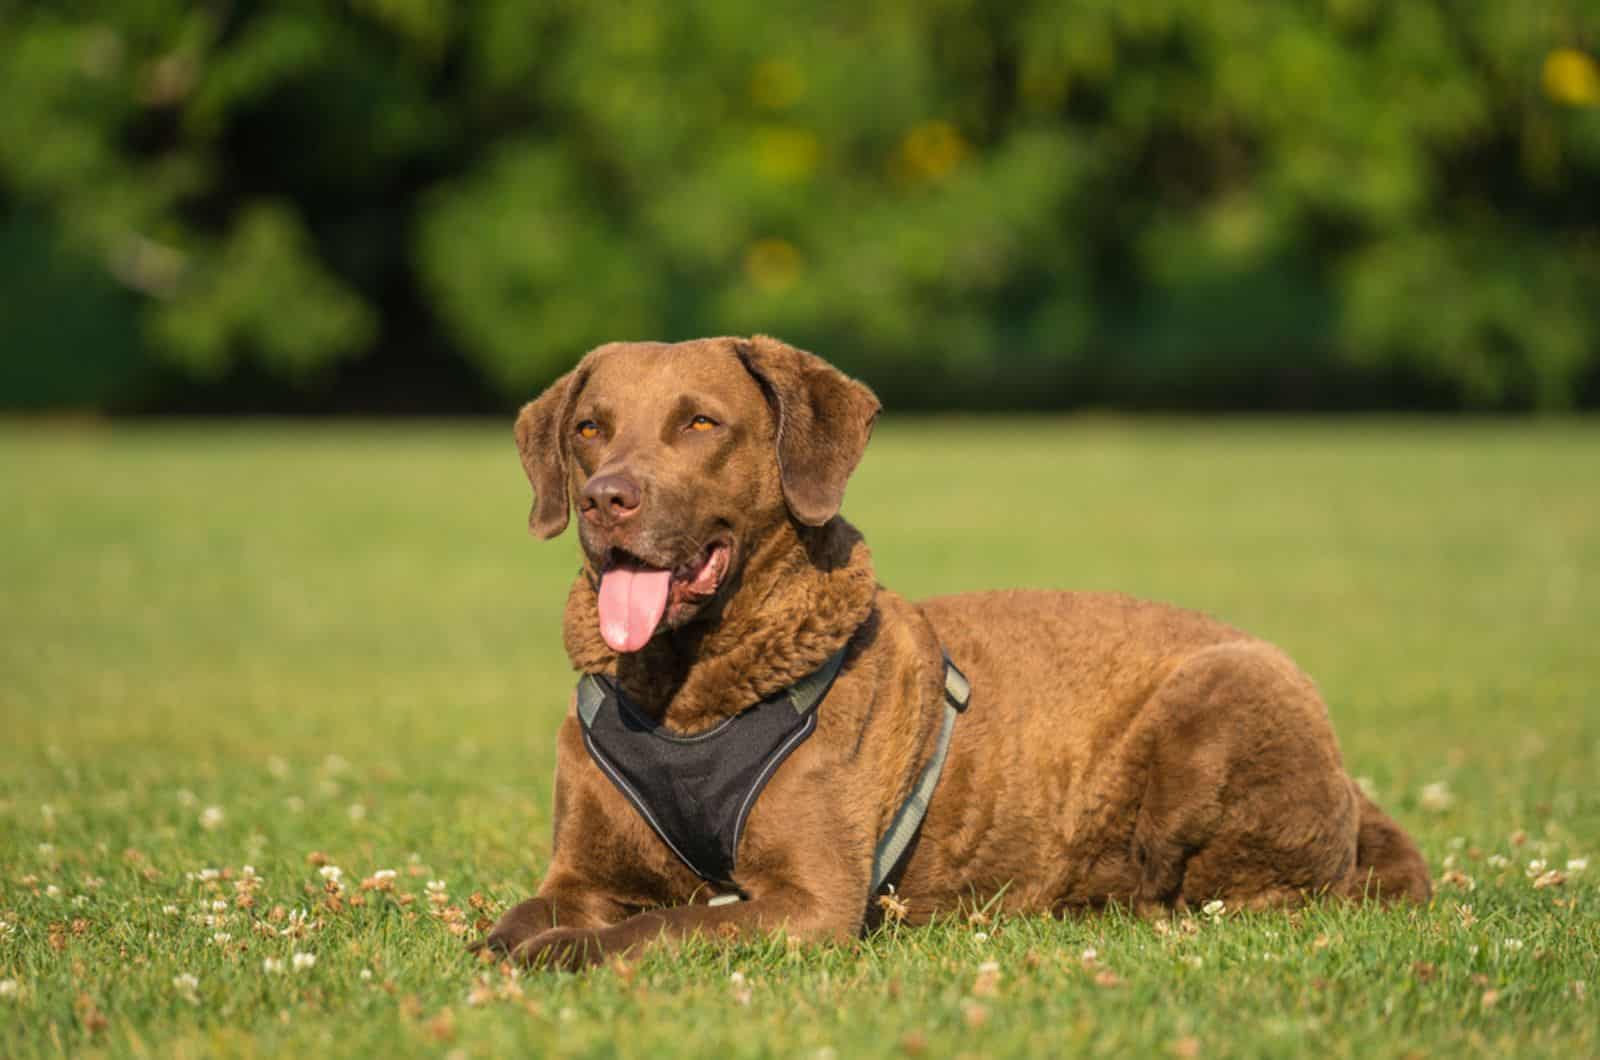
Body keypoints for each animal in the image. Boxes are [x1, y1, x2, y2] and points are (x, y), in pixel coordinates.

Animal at [480, 334, 1433, 973]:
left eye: (701, 422)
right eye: (590, 429)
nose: (606, 499)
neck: (684, 700)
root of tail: (1354, 788)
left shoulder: (811, 899)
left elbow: (661, 924)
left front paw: (569, 950)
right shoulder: (580, 866)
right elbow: (523, 914)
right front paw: (518, 939)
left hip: (1227, 691)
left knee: (1240, 894)